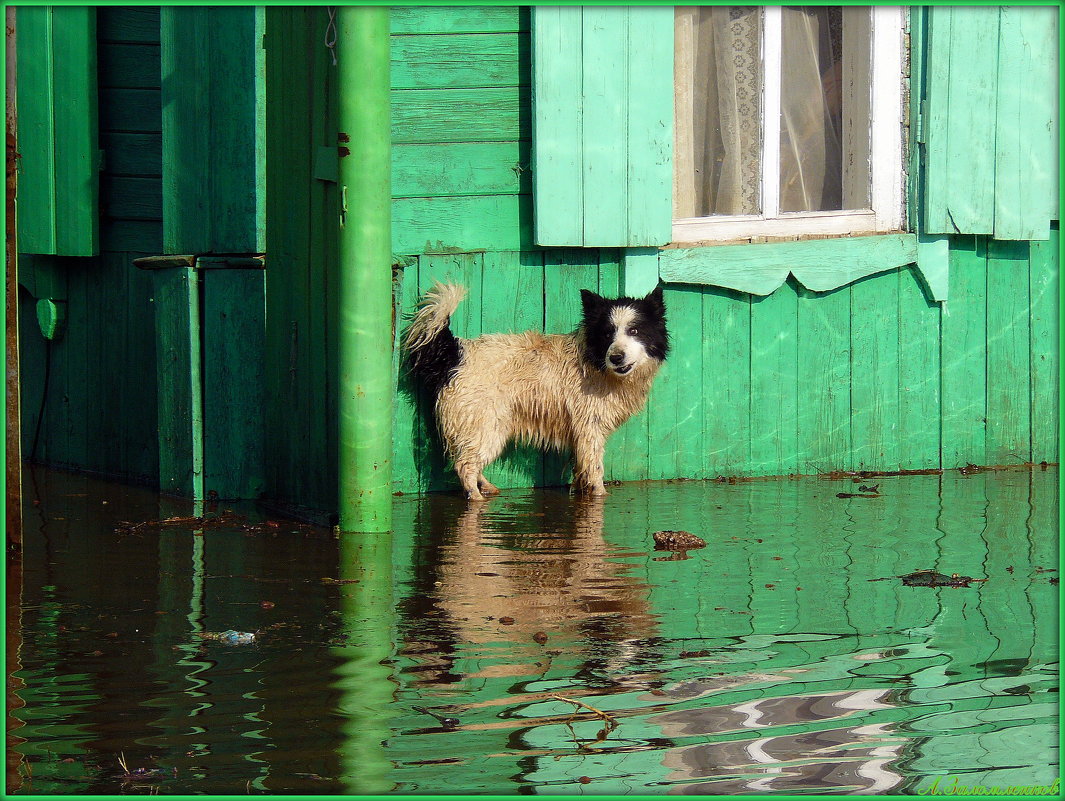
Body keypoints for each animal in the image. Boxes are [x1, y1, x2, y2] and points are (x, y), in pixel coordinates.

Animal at [402, 283, 668, 500]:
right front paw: (600, 495)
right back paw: (475, 497)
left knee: (469, 462)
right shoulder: (589, 428)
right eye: (607, 333)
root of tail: (455, 354)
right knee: (465, 465)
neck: (595, 363)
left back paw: (487, 487)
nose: (616, 357)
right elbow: (595, 469)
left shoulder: (580, 434)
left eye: (634, 331)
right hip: (486, 426)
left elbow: (581, 470)